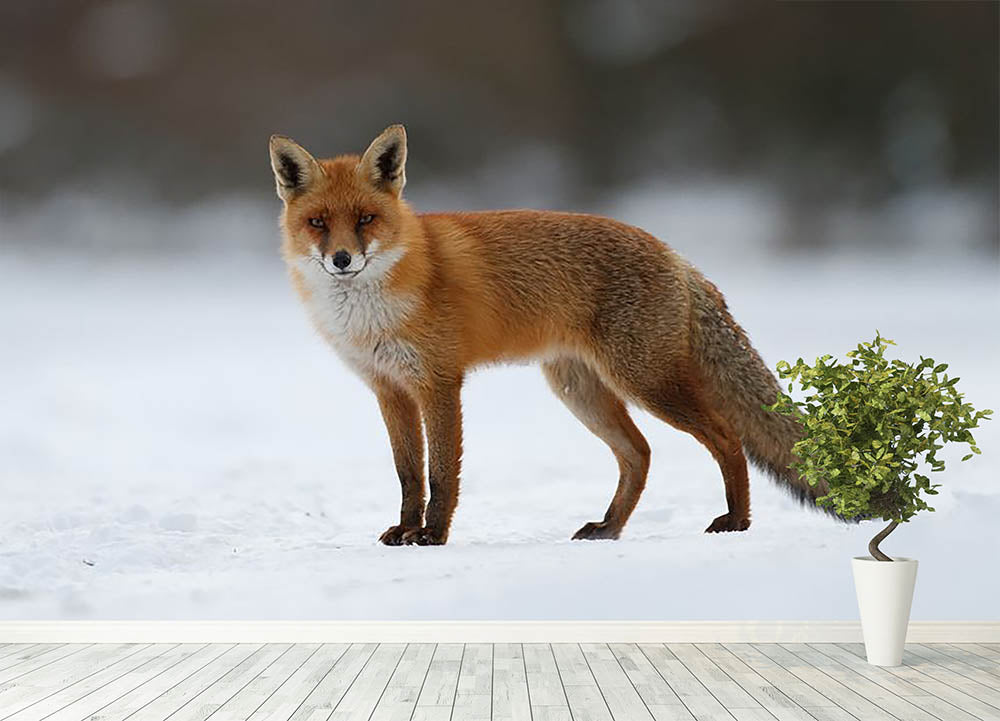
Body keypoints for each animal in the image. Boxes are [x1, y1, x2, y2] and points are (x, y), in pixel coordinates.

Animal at [268, 124, 827, 546]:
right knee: (639, 453)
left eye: (366, 219)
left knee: (726, 437)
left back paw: (737, 521)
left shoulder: (439, 383)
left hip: (646, 381)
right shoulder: (389, 390)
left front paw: (432, 536)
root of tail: (675, 254)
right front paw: (406, 531)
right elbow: (409, 475)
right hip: (579, 389)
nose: (342, 260)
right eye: (318, 223)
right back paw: (609, 528)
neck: (371, 313)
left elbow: (442, 474)